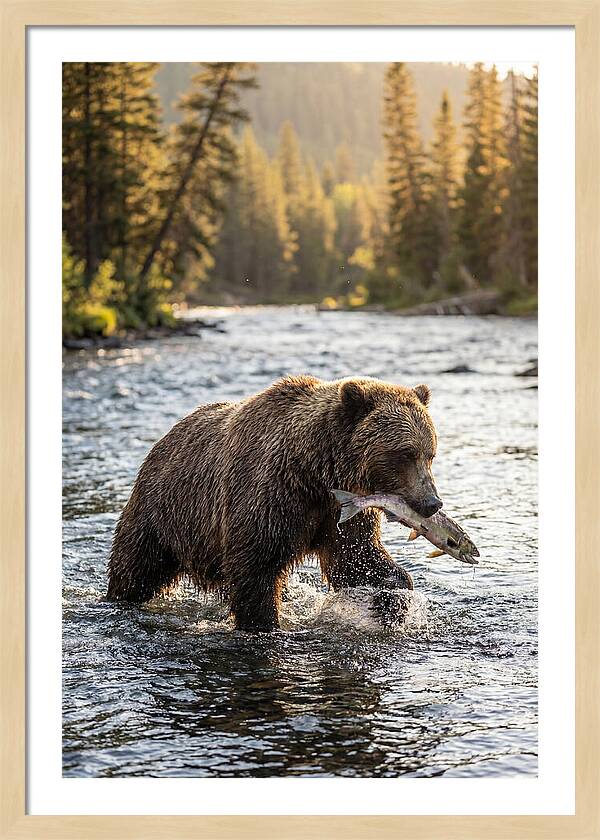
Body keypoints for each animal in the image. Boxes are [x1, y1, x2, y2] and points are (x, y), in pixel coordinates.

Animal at [106, 376, 442, 631]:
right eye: (404, 454)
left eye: (430, 453)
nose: (432, 503)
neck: (316, 472)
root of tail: (164, 438)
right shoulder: (271, 495)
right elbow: (255, 567)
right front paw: (263, 623)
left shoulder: (340, 511)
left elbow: (356, 557)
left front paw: (393, 598)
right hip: (163, 512)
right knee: (136, 567)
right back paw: (118, 599)